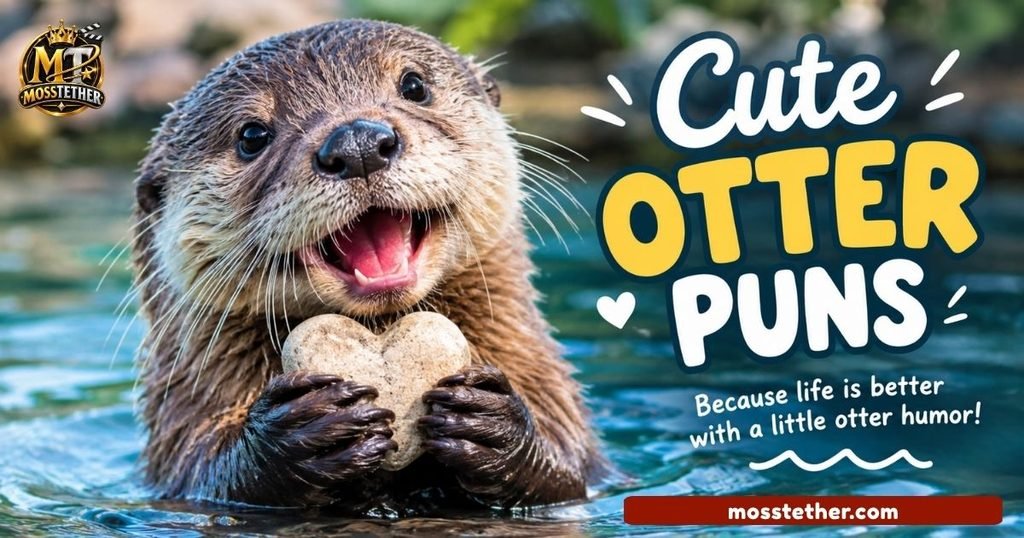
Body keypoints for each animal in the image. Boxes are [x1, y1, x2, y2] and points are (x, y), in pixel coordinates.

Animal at [130, 19, 602, 513]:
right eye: (252, 136)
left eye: (414, 86)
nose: (357, 143)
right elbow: (206, 471)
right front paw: (300, 432)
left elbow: (567, 464)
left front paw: (492, 424)